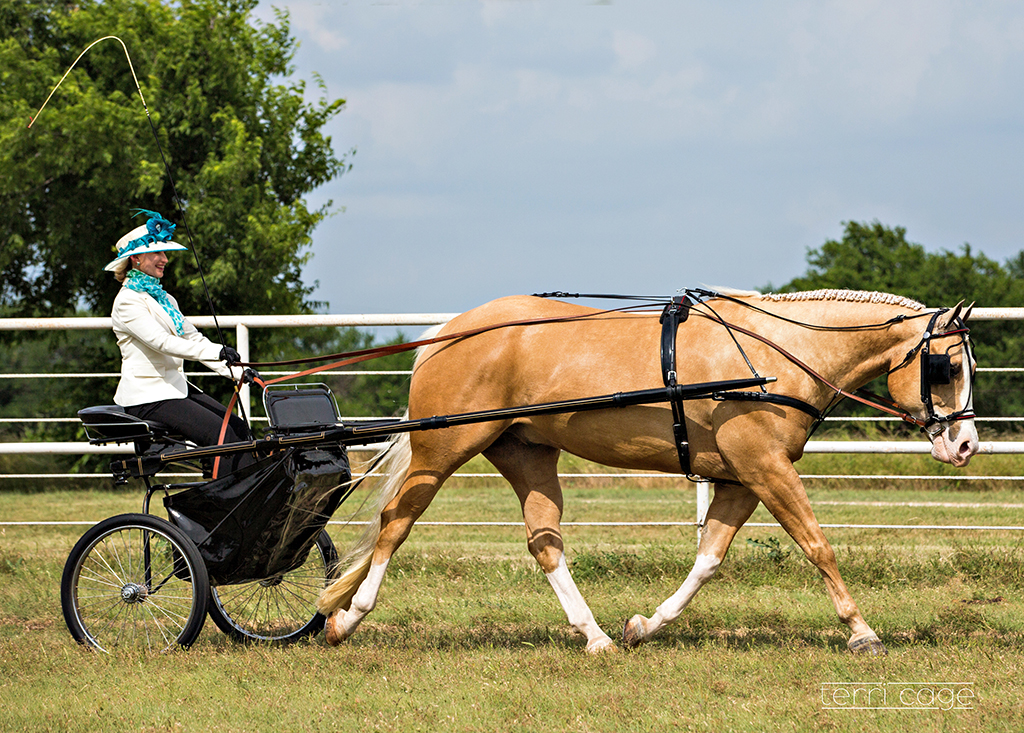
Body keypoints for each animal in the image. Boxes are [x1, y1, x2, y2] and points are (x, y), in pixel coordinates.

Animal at [317, 288, 974, 655]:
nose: (965, 443)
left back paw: (597, 638)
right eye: (945, 366)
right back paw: (347, 618)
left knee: (545, 542)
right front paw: (861, 632)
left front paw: (644, 626)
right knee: (396, 521)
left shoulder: (740, 478)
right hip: (442, 450)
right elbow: (818, 545)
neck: (772, 355)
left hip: (525, 454)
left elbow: (708, 561)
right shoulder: (764, 468)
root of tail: (447, 332)